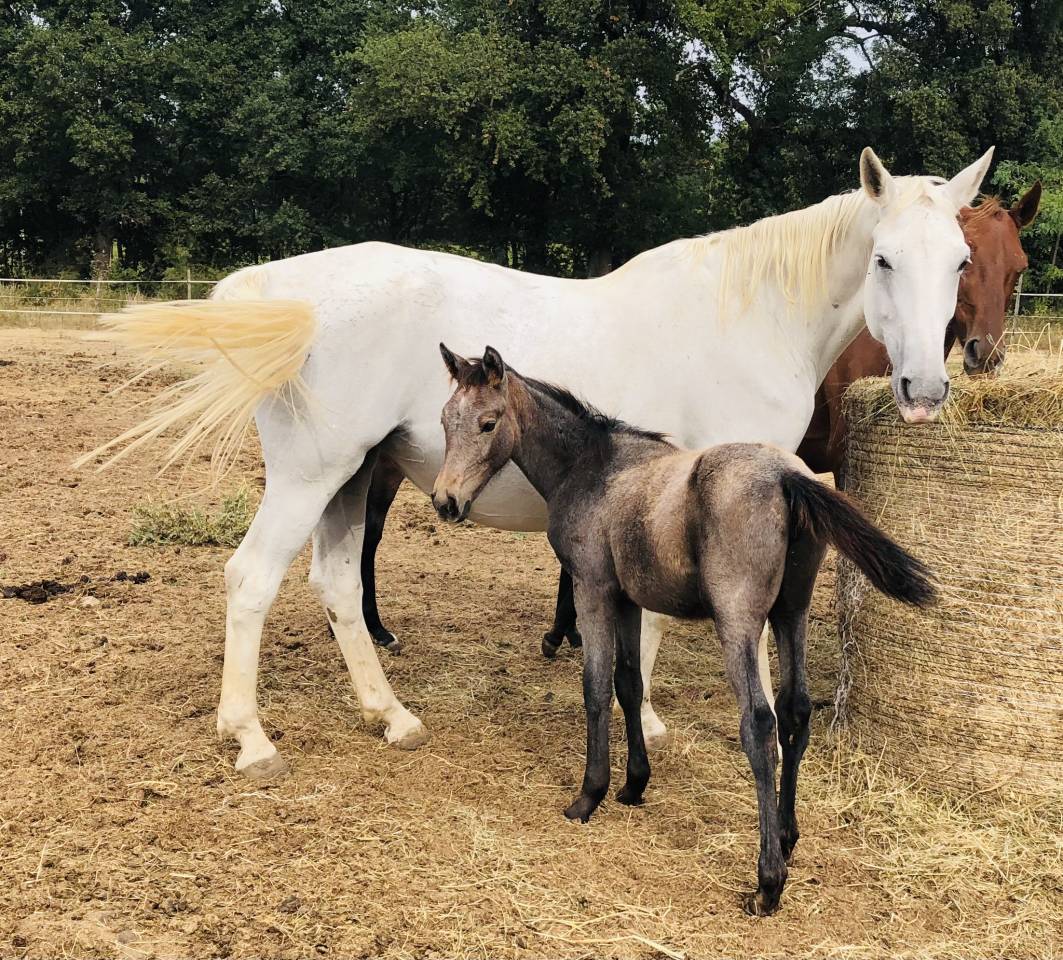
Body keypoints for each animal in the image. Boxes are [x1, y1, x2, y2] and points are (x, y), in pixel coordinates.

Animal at [79, 146, 991, 779]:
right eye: (882, 259)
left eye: (958, 261)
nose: (923, 388)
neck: (749, 317)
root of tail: (284, 292)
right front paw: (660, 726)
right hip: (311, 476)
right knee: (251, 581)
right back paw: (252, 738)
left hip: (351, 478)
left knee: (336, 586)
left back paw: (389, 715)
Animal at [432, 345, 935, 915]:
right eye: (445, 421)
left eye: (488, 423)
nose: (445, 501)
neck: (592, 467)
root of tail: (787, 476)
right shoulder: (627, 599)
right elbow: (629, 685)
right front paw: (634, 786)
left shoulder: (592, 588)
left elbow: (595, 688)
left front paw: (589, 795)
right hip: (792, 613)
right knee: (795, 712)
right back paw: (786, 838)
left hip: (738, 619)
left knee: (759, 723)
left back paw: (768, 881)